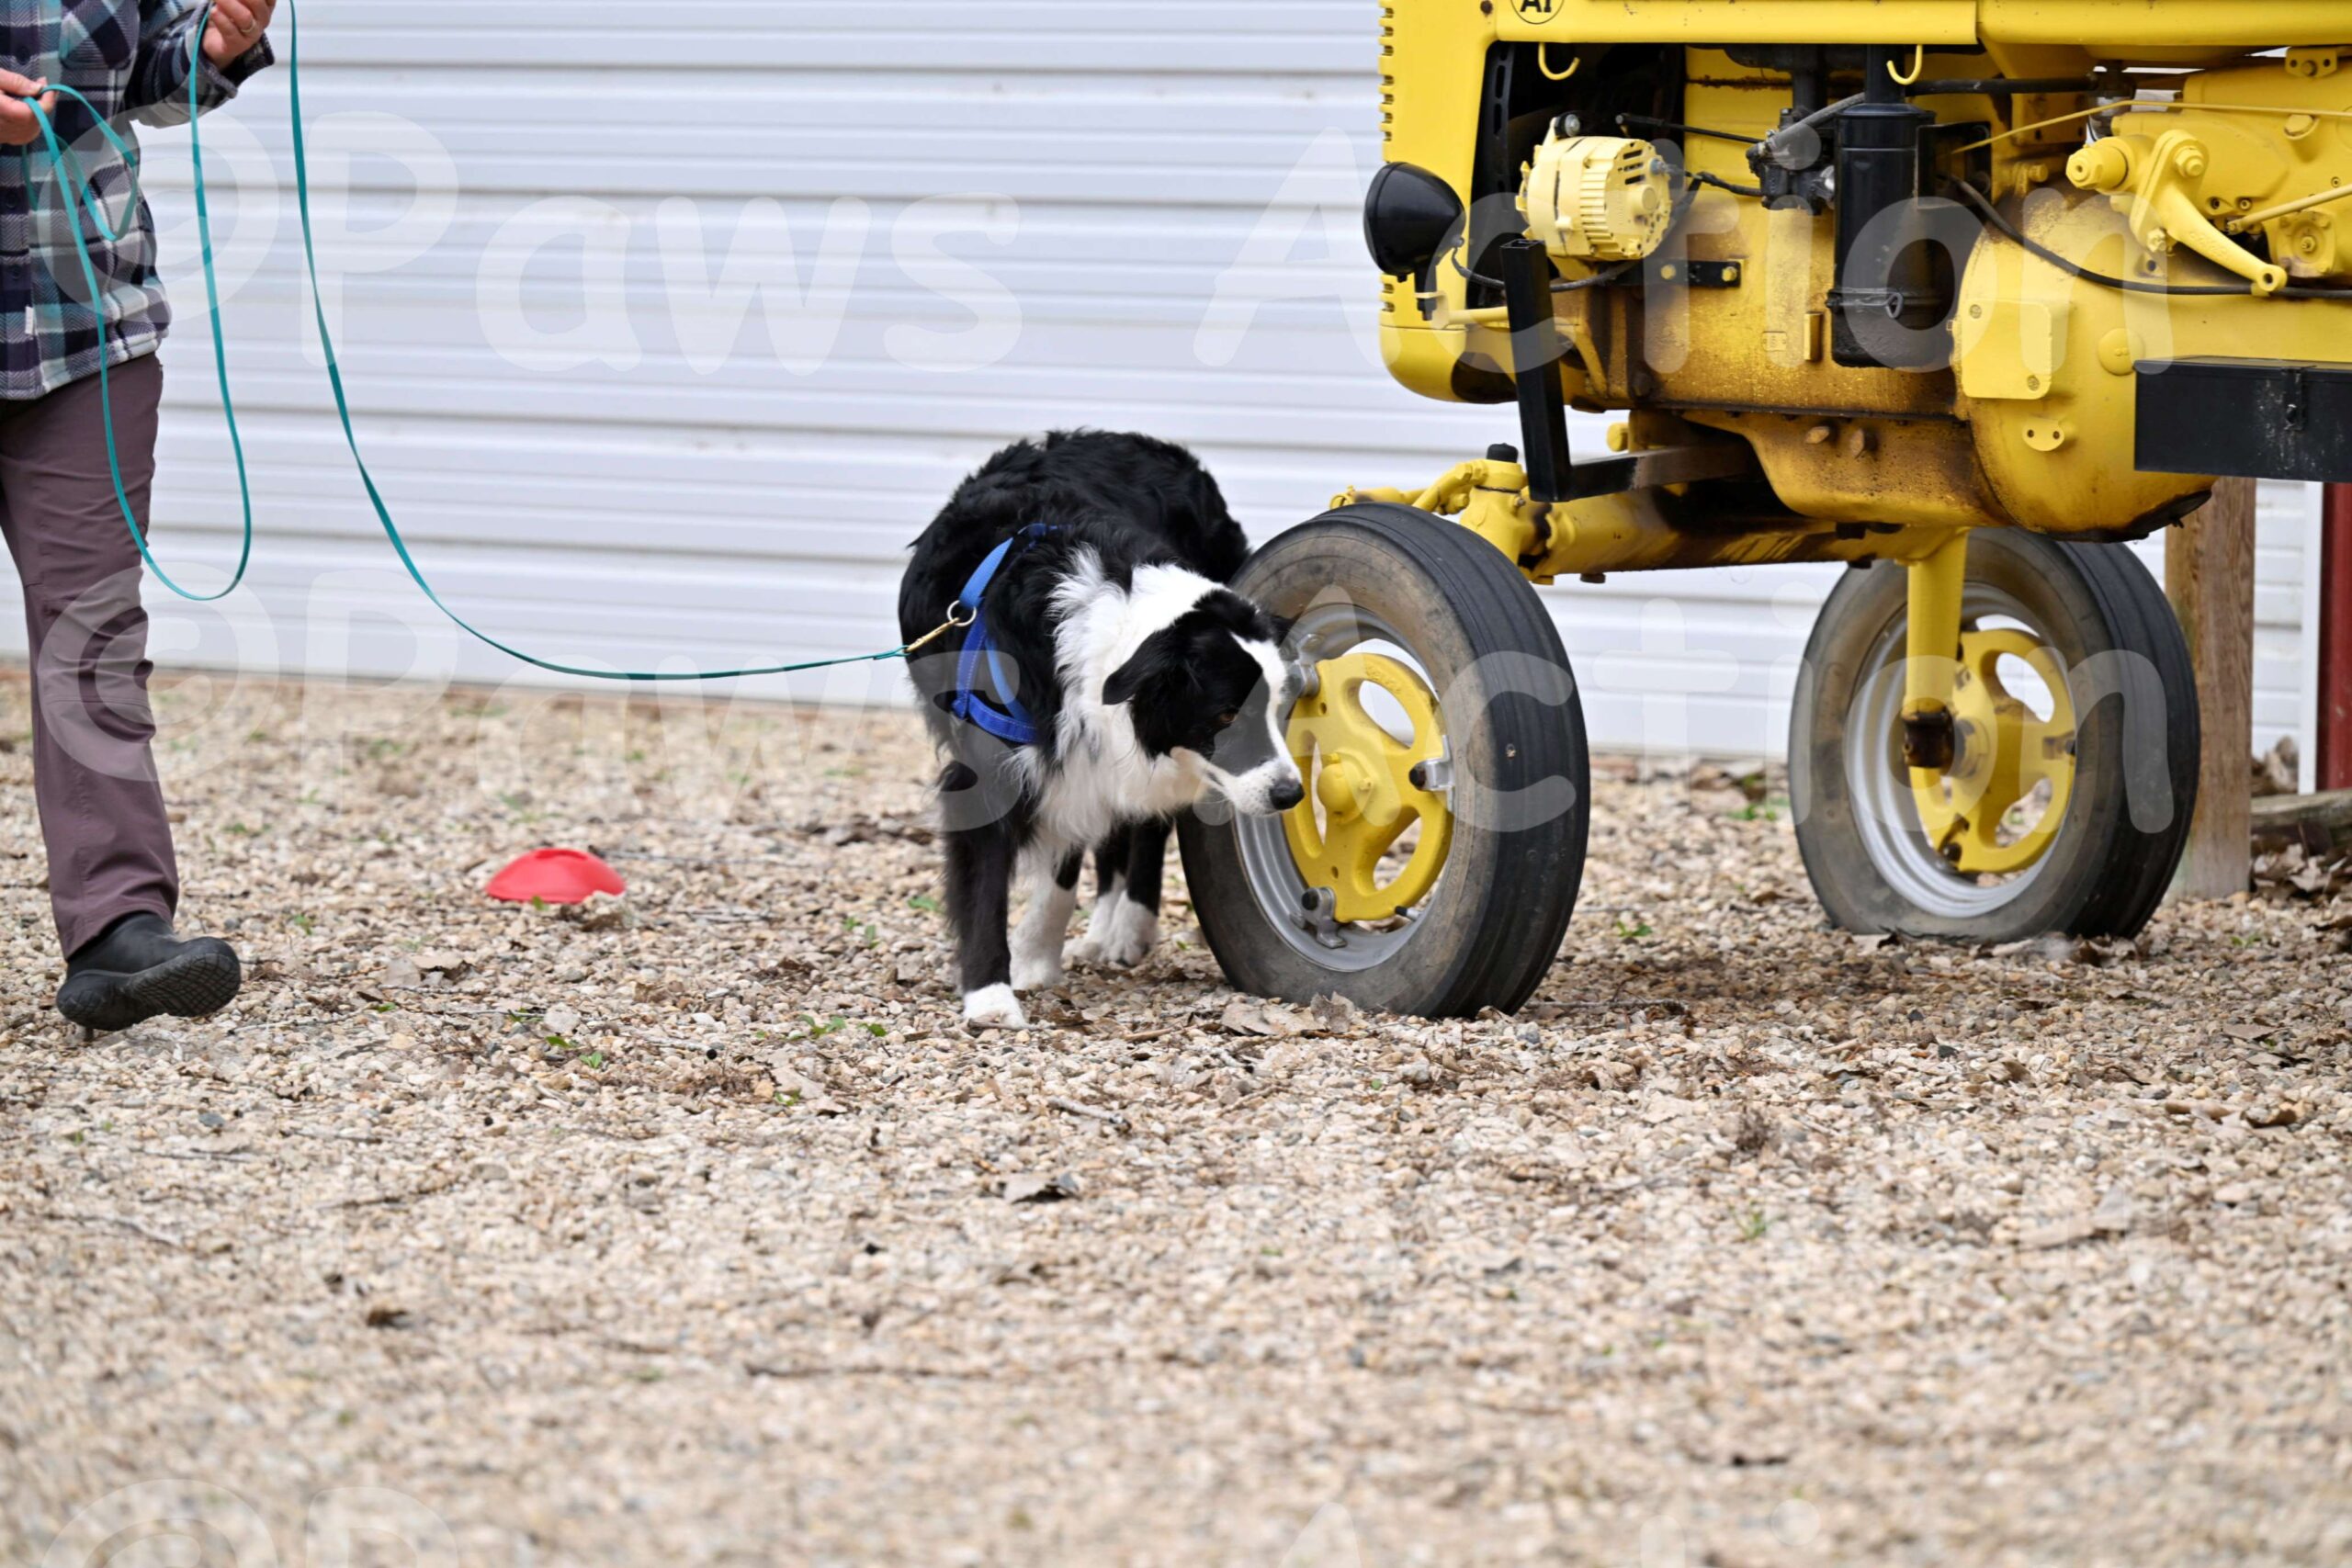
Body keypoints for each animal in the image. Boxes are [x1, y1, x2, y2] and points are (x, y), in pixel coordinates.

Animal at [899, 431, 1305, 1027]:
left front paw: (1035, 957)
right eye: (1227, 716)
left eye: (1278, 710)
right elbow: (993, 884)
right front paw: (994, 995)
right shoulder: (1006, 767)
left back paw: (1127, 926)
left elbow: (1070, 865)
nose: (1289, 794)